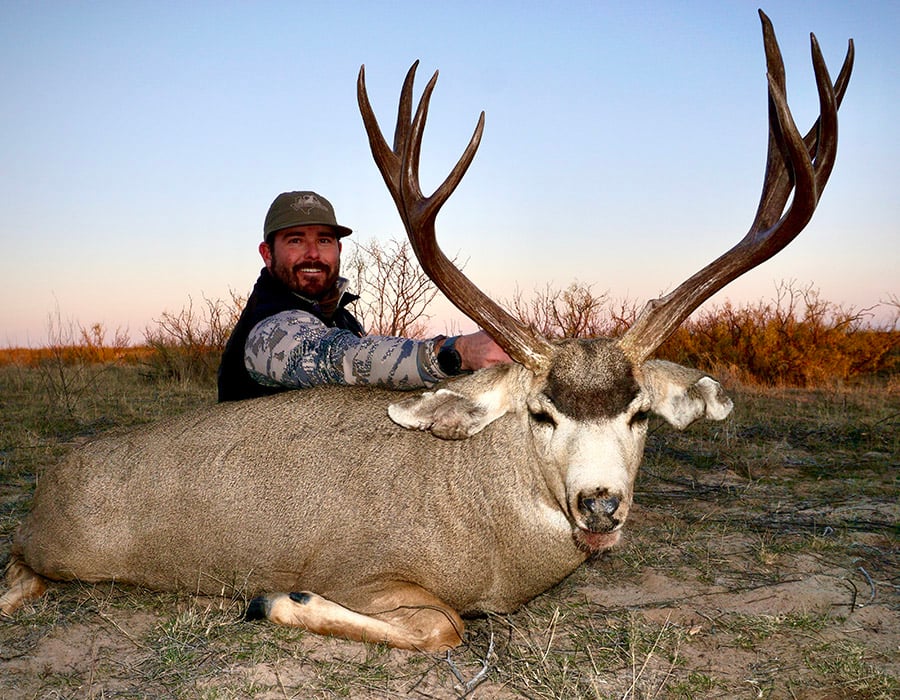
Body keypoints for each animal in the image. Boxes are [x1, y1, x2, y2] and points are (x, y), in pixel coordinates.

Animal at [1, 11, 852, 651]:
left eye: (639, 413)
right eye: (540, 412)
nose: (601, 505)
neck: (487, 534)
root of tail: (53, 475)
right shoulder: (363, 569)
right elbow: (442, 626)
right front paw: (278, 601)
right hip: (55, 552)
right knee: (18, 568)